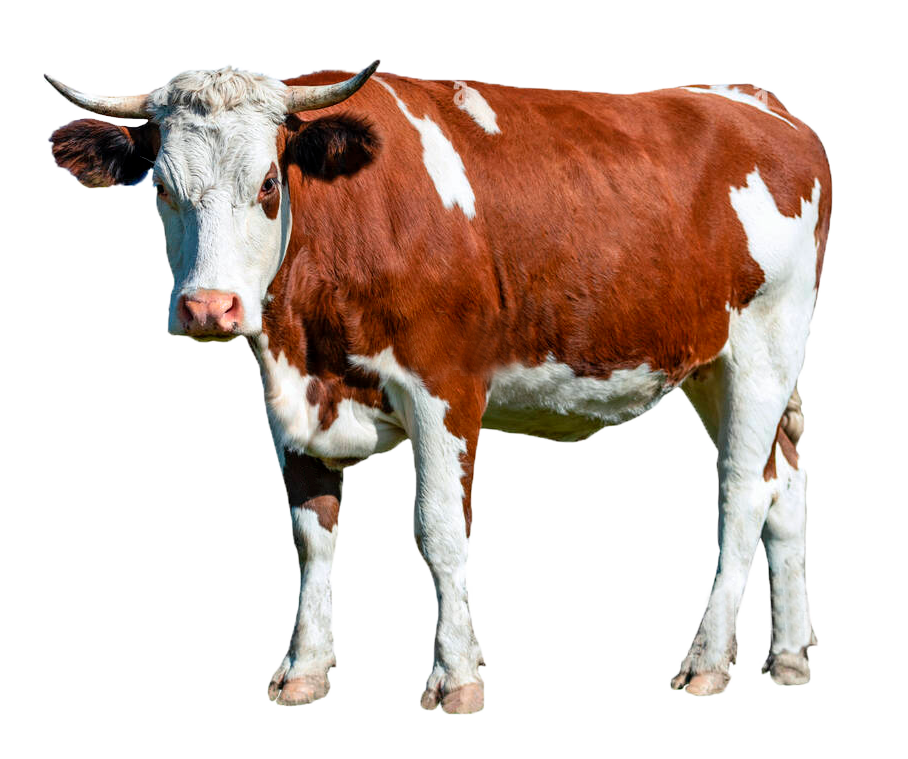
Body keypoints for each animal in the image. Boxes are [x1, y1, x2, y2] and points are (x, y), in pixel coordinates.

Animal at [44, 59, 832, 714]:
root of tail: (755, 100)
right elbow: (310, 533)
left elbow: (439, 530)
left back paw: (707, 660)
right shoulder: (292, 394)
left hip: (765, 341)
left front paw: (456, 674)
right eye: (162, 188)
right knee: (785, 481)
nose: (209, 308)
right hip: (709, 363)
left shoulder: (445, 385)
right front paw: (304, 667)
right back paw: (791, 654)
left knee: (742, 492)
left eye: (268, 185)